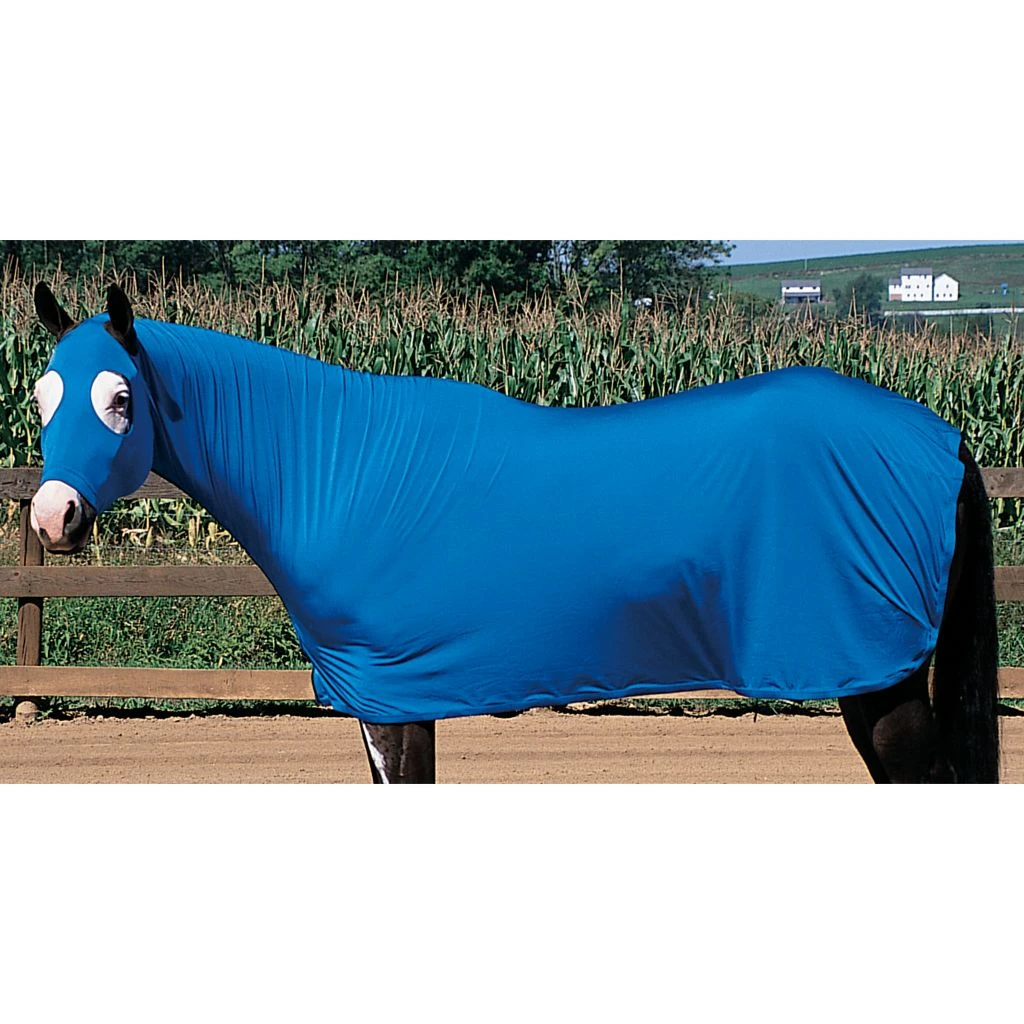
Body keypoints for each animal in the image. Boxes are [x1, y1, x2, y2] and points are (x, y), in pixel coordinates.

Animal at [28, 282, 1000, 783]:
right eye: (39, 395)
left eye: (119, 399)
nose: (51, 518)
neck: (337, 470)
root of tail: (943, 438)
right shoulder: (384, 701)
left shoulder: (395, 697)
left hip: (878, 682)